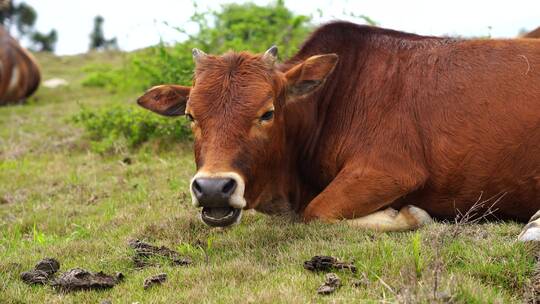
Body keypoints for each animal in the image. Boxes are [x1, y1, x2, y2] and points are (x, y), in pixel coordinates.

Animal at [138, 20, 540, 240]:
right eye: (190, 116)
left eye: (267, 113)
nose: (213, 188)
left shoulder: (390, 171)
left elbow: (316, 211)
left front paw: (409, 215)